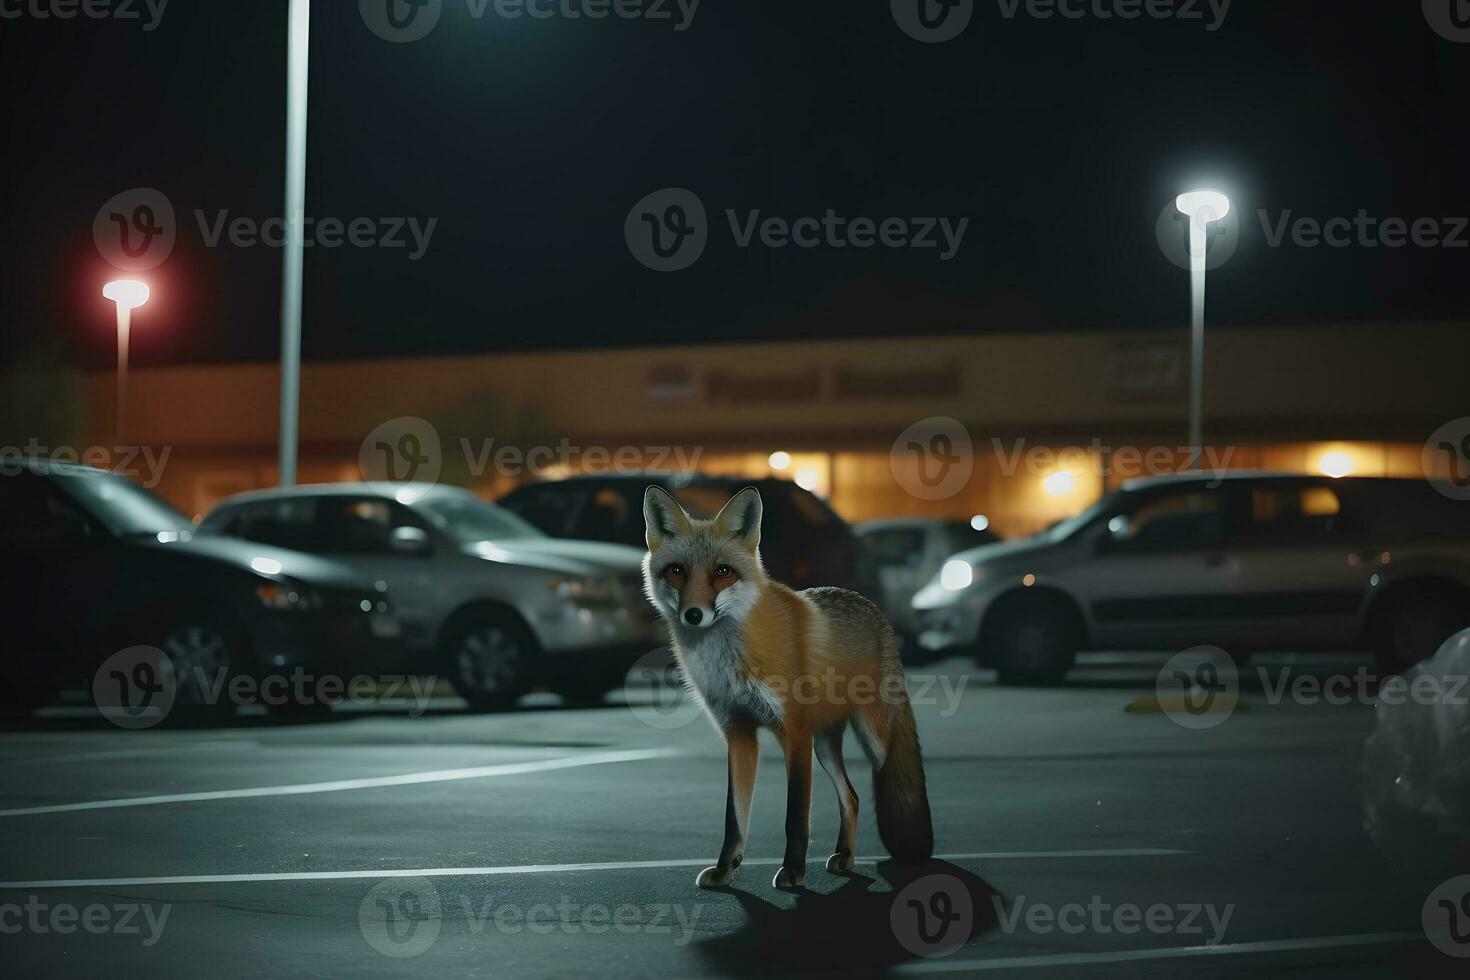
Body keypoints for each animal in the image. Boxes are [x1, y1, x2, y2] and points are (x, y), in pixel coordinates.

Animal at [640, 487, 934, 893]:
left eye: (722, 572)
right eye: (677, 571)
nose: (694, 615)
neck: (729, 658)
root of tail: (871, 606)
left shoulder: (793, 732)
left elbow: (796, 815)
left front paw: (793, 872)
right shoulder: (739, 733)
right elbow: (734, 817)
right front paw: (726, 870)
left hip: (873, 741)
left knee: (879, 783)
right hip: (824, 745)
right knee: (853, 798)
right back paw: (845, 857)